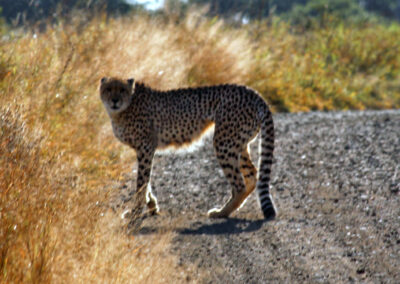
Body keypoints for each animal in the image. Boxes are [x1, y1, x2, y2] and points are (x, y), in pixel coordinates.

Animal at [99, 77, 276, 220]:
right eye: (108, 89)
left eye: (122, 90)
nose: (114, 100)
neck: (126, 106)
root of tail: (252, 92)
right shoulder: (143, 149)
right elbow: (145, 182)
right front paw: (151, 206)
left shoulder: (146, 147)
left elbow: (141, 182)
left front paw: (136, 211)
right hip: (239, 143)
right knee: (252, 174)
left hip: (224, 143)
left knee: (239, 184)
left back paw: (221, 213)